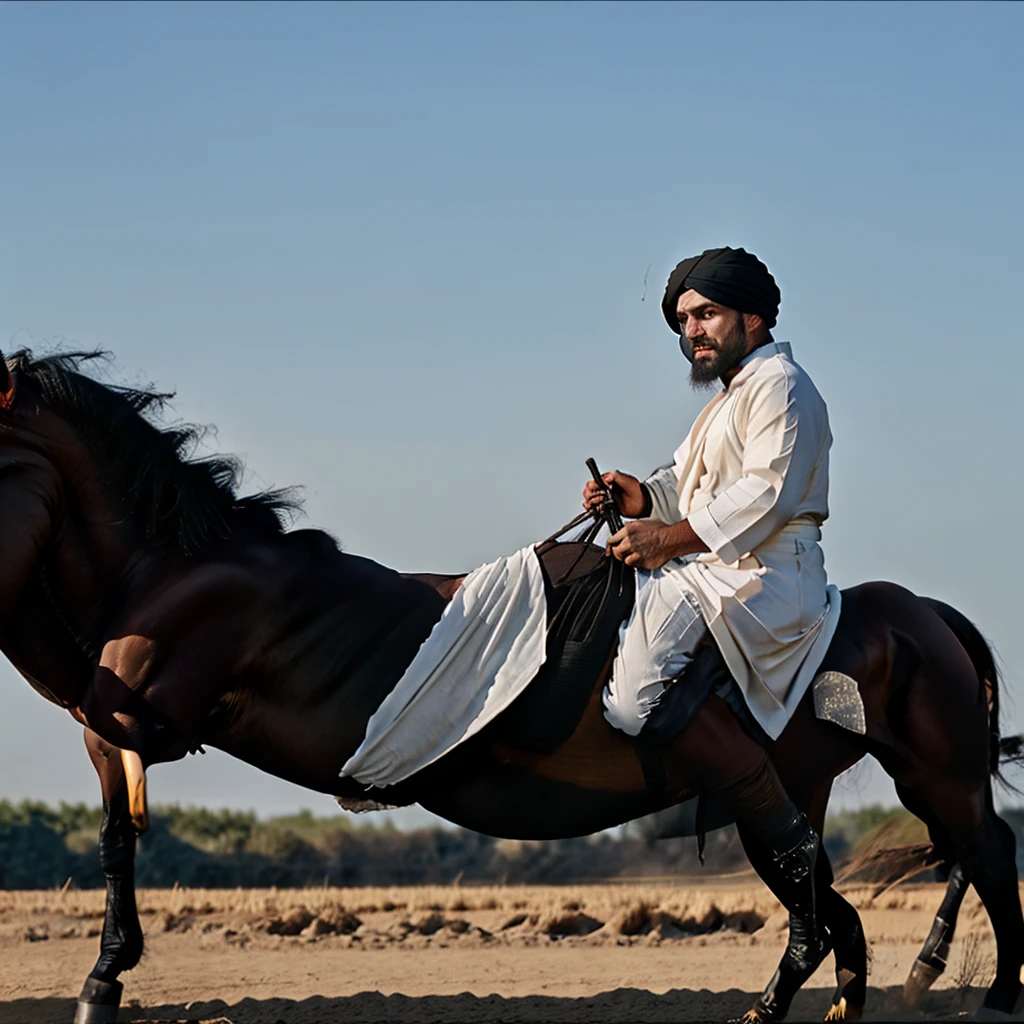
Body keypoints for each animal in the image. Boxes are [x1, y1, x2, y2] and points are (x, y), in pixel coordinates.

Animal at [0, 348, 1019, 1019]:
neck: (175, 567)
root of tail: (918, 611)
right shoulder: (117, 720)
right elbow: (115, 836)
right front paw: (104, 977)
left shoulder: (144, 713)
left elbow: (116, 819)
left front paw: (104, 978)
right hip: (799, 779)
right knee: (819, 880)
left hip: (932, 770)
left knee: (981, 851)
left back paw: (988, 995)